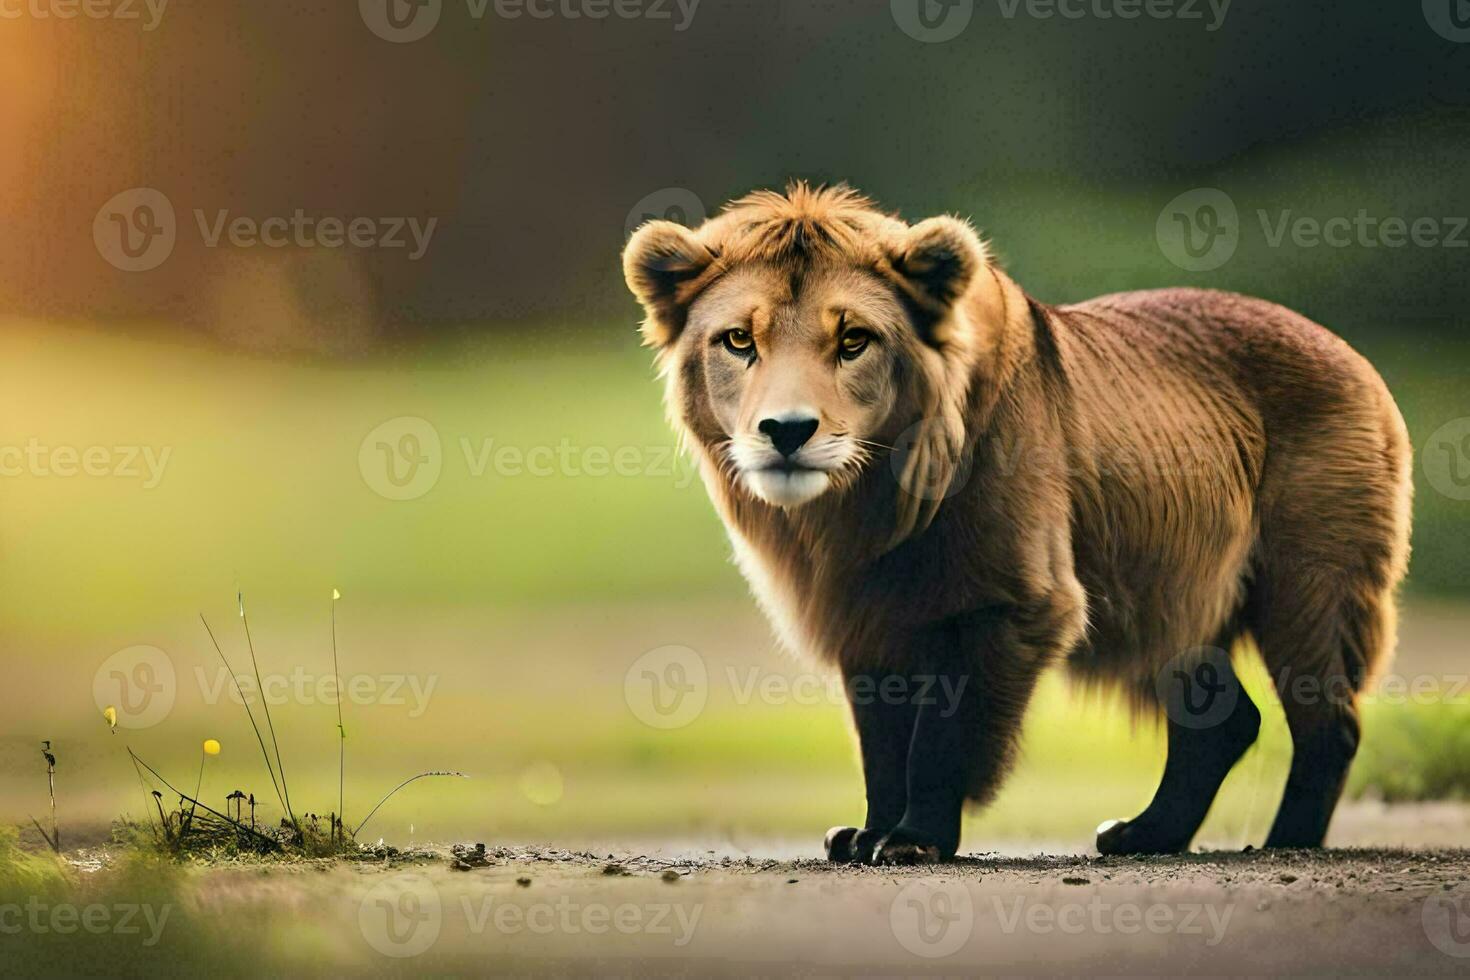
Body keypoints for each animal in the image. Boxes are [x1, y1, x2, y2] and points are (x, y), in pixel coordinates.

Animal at [620, 183, 1411, 863]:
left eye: (852, 341)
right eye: (738, 340)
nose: (786, 431)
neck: (859, 505)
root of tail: (1356, 359)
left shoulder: (1008, 601)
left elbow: (939, 737)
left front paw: (914, 840)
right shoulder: (863, 613)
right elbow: (881, 739)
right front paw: (866, 834)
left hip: (1306, 583)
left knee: (1329, 722)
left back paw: (1285, 842)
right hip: (1167, 594)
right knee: (1220, 719)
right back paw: (1143, 835)